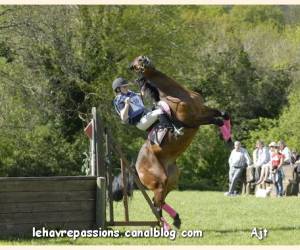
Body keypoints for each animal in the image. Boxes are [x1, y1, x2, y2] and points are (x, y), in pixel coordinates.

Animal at [127, 55, 231, 229]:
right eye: (136, 64)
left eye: (141, 58)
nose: (145, 60)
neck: (180, 95)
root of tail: (136, 166)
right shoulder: (194, 121)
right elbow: (217, 120)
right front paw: (227, 137)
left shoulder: (203, 110)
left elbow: (223, 114)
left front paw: (229, 137)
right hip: (159, 181)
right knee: (156, 204)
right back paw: (166, 226)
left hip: (172, 180)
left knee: (158, 201)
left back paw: (175, 219)